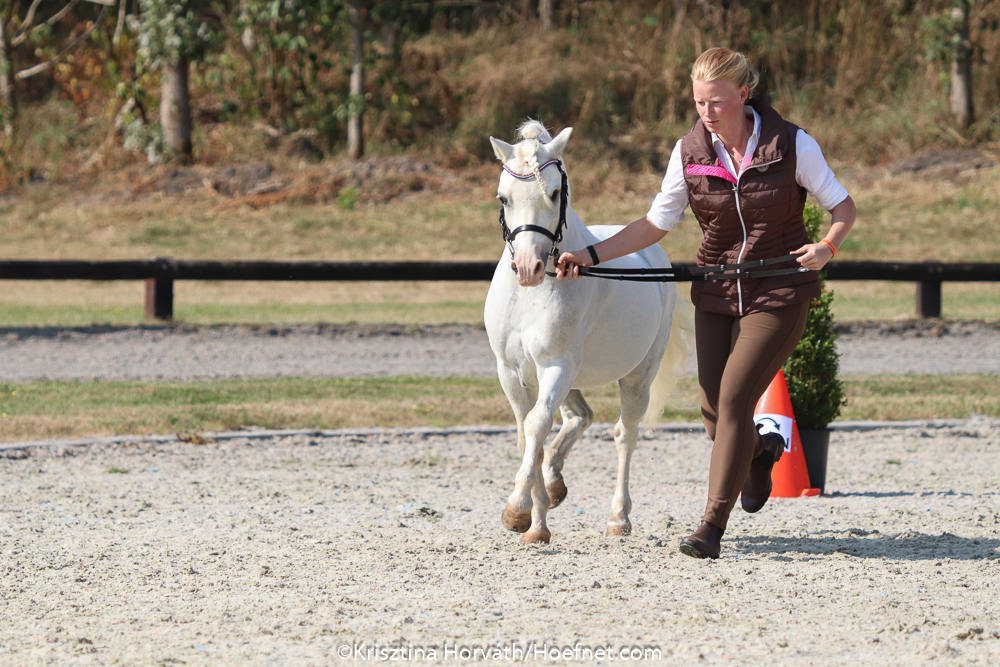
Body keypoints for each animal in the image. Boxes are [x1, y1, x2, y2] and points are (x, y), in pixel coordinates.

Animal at [485, 120, 693, 544]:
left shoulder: (557, 366)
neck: (531, 294)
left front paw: (518, 510)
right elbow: (527, 433)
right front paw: (534, 520)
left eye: (554, 192)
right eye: (503, 197)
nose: (528, 268)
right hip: (572, 379)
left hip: (635, 377)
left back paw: (619, 517)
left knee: (624, 434)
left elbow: (536, 425)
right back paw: (553, 486)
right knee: (579, 417)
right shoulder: (511, 371)